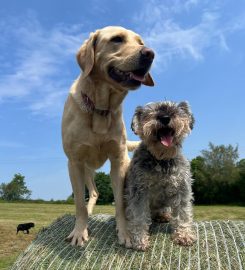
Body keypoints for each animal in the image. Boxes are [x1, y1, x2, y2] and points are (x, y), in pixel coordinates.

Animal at [124, 101, 195, 251]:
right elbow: (138, 215)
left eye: (175, 109)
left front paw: (184, 235)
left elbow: (183, 213)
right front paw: (140, 240)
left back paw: (164, 216)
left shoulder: (182, 188)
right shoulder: (139, 190)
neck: (161, 159)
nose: (165, 117)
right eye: (151, 110)